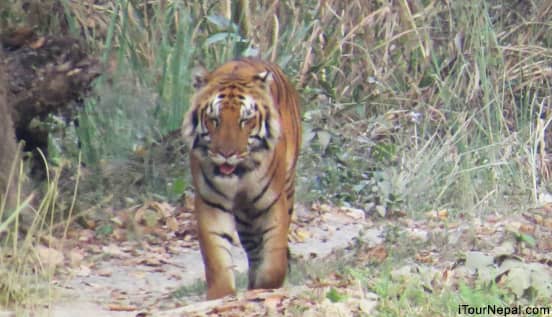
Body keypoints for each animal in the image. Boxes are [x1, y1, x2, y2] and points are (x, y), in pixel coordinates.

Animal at [181, 57, 302, 298]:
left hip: (286, 188)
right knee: (253, 248)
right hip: (246, 217)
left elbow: (274, 258)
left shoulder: (272, 203)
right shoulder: (211, 203)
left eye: (245, 120)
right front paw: (221, 295)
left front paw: (266, 288)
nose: (227, 154)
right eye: (214, 119)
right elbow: (217, 257)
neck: (239, 175)